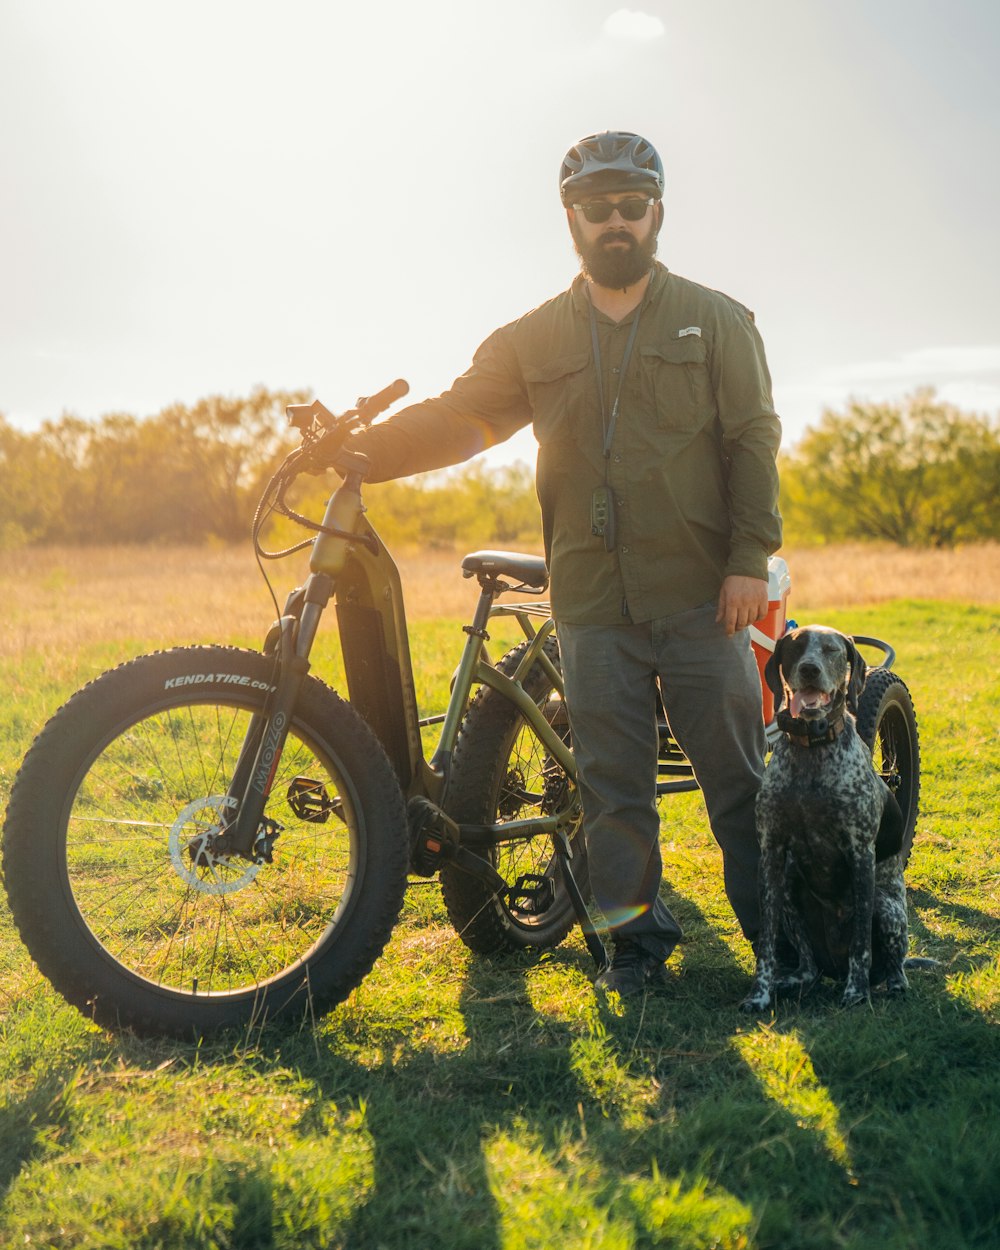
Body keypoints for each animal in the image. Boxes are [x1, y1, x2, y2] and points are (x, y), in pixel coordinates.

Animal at [740, 625, 910, 1015]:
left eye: (832, 649)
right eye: (796, 647)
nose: (809, 669)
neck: (811, 748)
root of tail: (834, 967)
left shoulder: (861, 855)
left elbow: (861, 943)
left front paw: (856, 993)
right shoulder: (771, 855)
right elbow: (767, 943)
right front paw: (759, 994)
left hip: (887, 907)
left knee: (894, 962)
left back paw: (892, 985)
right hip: (790, 890)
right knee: (809, 967)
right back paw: (794, 981)